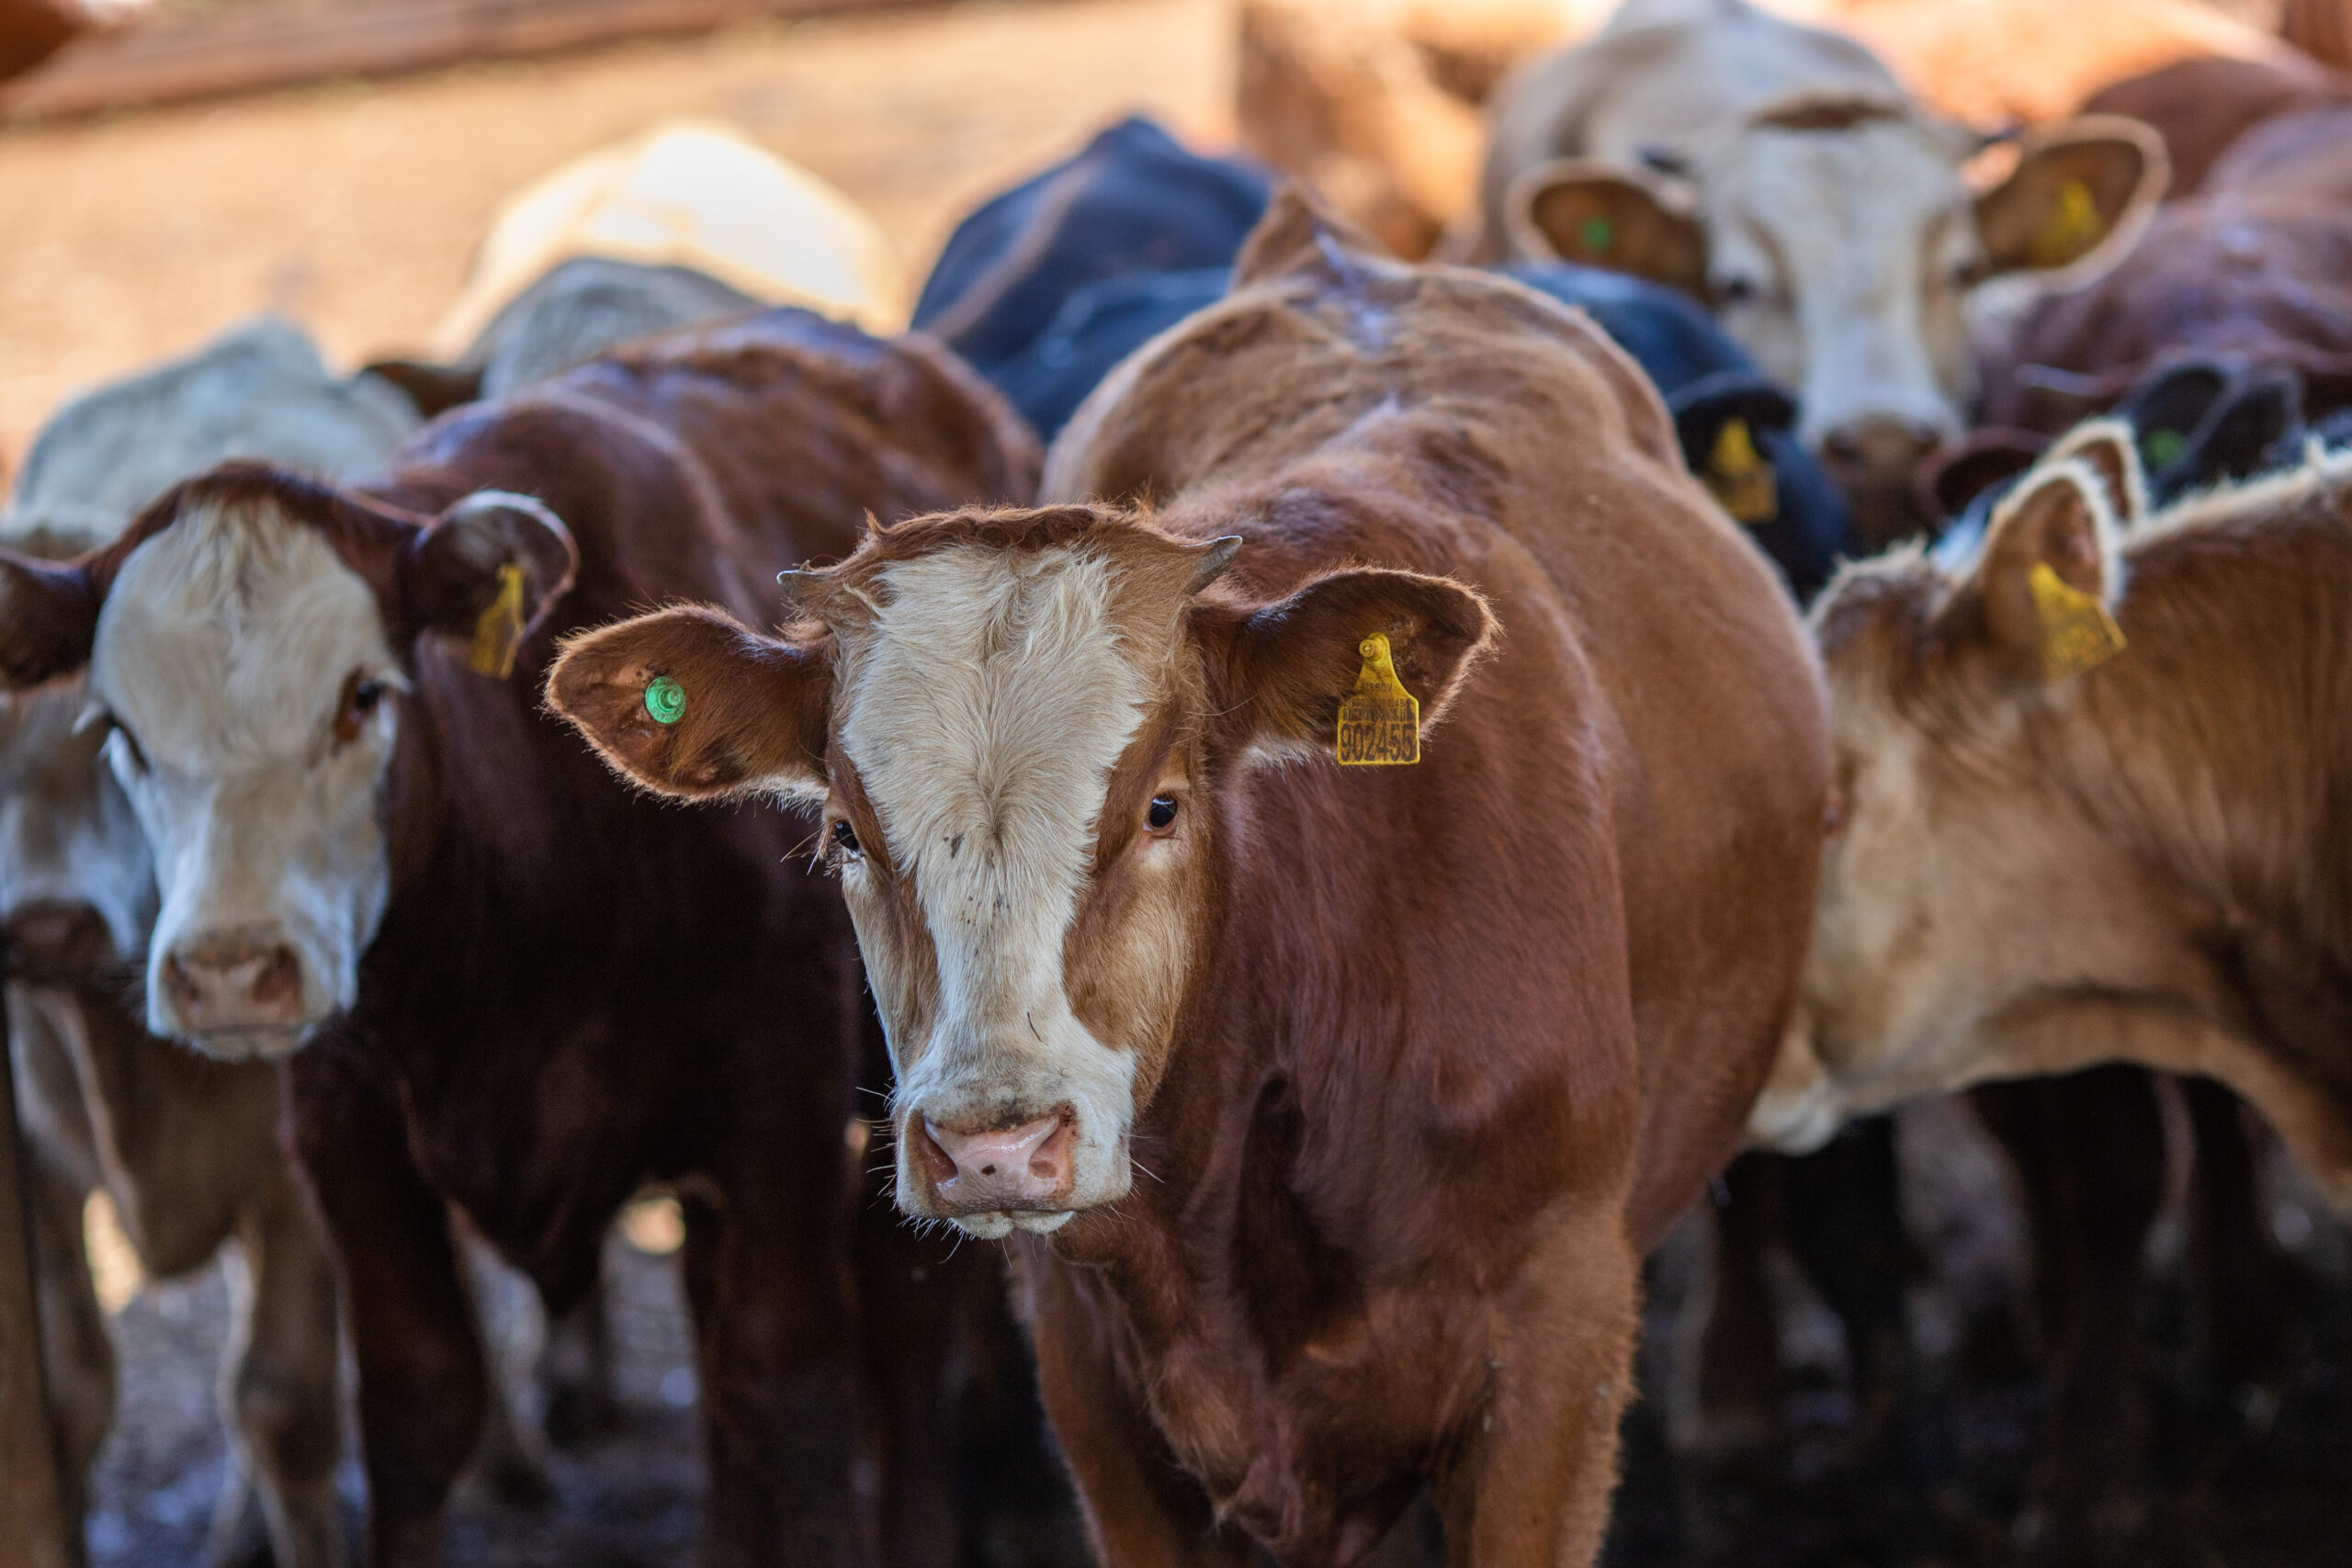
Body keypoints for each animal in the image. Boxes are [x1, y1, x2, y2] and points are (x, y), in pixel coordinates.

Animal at [0, 310, 1048, 1568]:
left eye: (362, 697)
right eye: (119, 729)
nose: (232, 974)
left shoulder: (776, 1114)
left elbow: (792, 1390)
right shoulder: (346, 1139)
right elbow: (415, 1405)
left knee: (895, 1330)